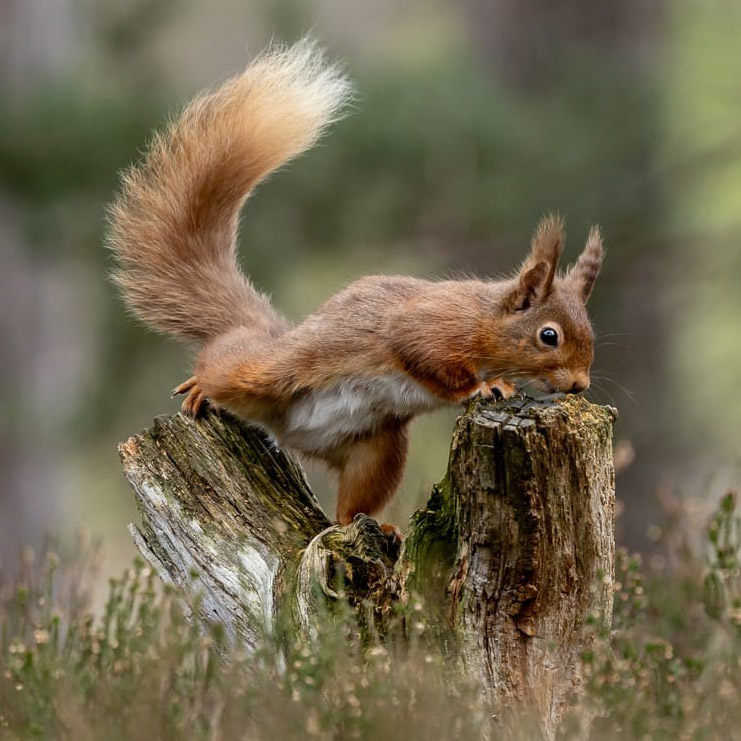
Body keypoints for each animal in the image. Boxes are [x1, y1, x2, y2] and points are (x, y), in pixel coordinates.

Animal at [108, 37, 600, 536]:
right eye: (549, 336)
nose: (580, 385)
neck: (483, 318)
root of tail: (290, 430)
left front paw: (499, 383)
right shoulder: (428, 328)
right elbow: (425, 359)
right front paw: (482, 388)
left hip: (376, 450)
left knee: (350, 506)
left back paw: (371, 525)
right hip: (266, 372)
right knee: (224, 360)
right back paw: (202, 387)